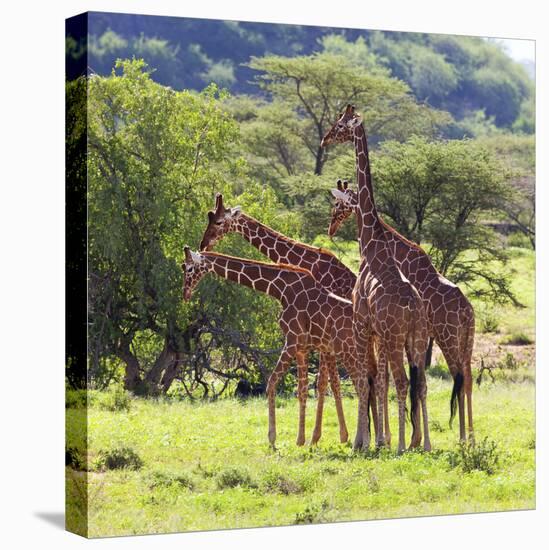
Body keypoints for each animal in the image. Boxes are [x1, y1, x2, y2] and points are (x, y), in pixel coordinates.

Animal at [181, 248, 372, 450]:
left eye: (190, 268)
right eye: (183, 266)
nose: (185, 293)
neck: (281, 290)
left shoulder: (292, 341)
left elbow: (271, 382)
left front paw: (272, 439)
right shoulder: (301, 348)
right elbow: (302, 390)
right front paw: (301, 440)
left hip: (348, 351)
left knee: (362, 386)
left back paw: (363, 442)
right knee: (363, 385)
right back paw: (361, 440)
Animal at [318, 103, 430, 452]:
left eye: (340, 124)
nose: (325, 139)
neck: (370, 242)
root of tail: (414, 309)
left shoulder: (361, 323)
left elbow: (365, 381)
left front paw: (362, 442)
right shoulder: (377, 331)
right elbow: (376, 381)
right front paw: (377, 440)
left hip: (395, 338)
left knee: (403, 381)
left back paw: (401, 446)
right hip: (416, 338)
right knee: (420, 383)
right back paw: (424, 444)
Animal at [326, 177, 476, 444]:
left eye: (337, 203)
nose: (331, 228)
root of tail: (468, 312)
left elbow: (389, 380)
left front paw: (395, 438)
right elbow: (404, 381)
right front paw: (408, 437)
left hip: (447, 338)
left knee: (458, 377)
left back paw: (461, 438)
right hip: (466, 341)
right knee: (467, 379)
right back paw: (470, 438)